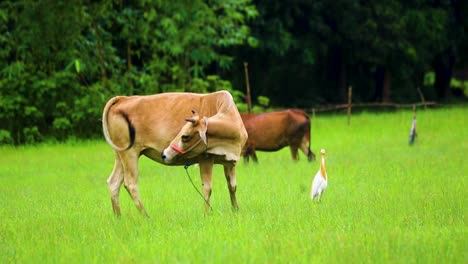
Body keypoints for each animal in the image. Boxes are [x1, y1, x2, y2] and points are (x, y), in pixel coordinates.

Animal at [102, 91, 249, 217]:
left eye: (185, 136)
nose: (164, 154)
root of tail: (123, 98)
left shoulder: (230, 161)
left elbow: (232, 186)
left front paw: (236, 210)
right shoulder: (205, 158)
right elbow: (207, 188)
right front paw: (206, 214)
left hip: (120, 153)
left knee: (114, 182)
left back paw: (118, 217)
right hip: (130, 152)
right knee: (130, 183)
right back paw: (146, 216)